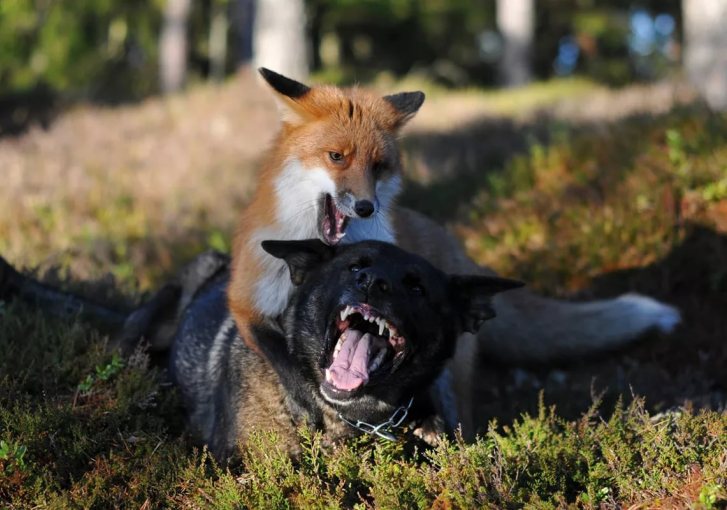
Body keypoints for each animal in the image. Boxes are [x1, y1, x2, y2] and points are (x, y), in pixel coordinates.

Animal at [229, 67, 684, 434]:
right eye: (336, 157)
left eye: (379, 167)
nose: (366, 207)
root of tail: (453, 246)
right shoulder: (247, 301)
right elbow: (286, 363)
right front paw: (308, 406)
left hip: (454, 377)